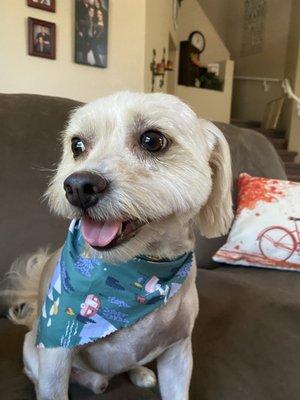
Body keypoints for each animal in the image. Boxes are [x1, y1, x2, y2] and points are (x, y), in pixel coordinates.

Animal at [5, 92, 233, 398]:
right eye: (77, 145)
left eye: (152, 140)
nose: (78, 186)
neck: (138, 272)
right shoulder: (55, 354)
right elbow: (51, 386)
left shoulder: (178, 352)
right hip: (33, 346)